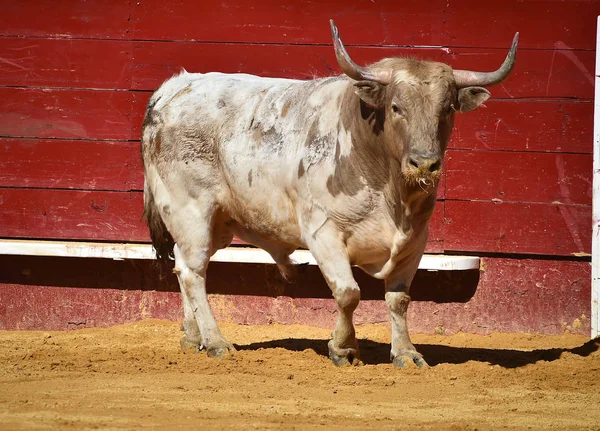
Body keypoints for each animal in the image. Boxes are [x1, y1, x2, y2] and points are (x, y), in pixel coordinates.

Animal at [141, 21, 516, 368]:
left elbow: (399, 299)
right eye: (396, 107)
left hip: (218, 221)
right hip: (190, 210)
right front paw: (344, 348)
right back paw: (217, 342)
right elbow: (348, 293)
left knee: (183, 263)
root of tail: (173, 89)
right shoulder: (323, 232)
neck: (390, 191)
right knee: (195, 272)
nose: (424, 163)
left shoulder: (415, 240)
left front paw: (406, 353)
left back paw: (193, 337)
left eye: (448, 109)